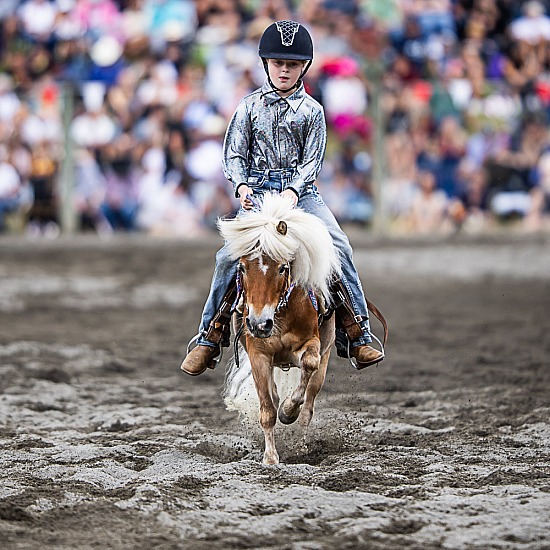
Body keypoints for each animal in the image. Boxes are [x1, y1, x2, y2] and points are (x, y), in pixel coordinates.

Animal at [219, 194, 340, 466]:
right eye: (242, 267)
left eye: (283, 267)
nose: (259, 324)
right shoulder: (259, 355)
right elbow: (267, 409)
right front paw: (271, 458)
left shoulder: (312, 345)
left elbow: (307, 368)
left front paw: (288, 411)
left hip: (324, 360)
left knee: (309, 406)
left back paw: (301, 445)